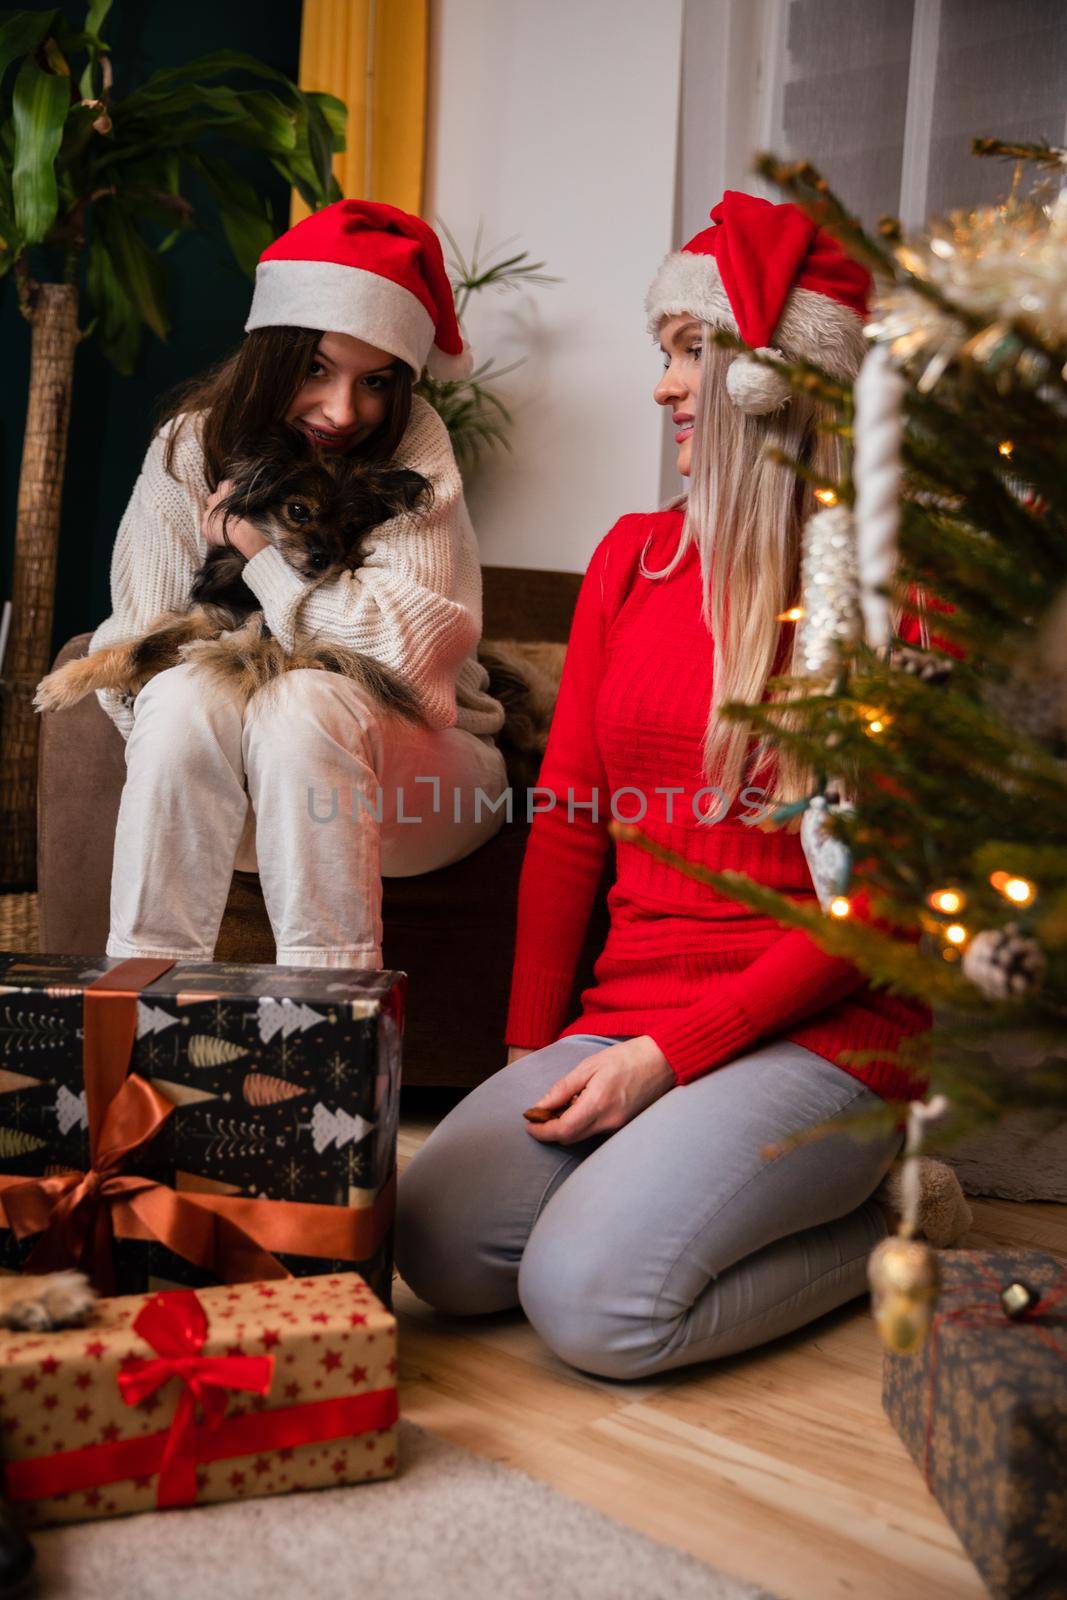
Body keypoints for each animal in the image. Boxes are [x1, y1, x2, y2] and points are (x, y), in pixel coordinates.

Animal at [34, 428, 435, 723]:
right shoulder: (212, 614)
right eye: (298, 511)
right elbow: (139, 645)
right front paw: (74, 681)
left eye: (351, 528)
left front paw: (61, 687)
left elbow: (253, 644)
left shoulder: (255, 628)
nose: (324, 558)